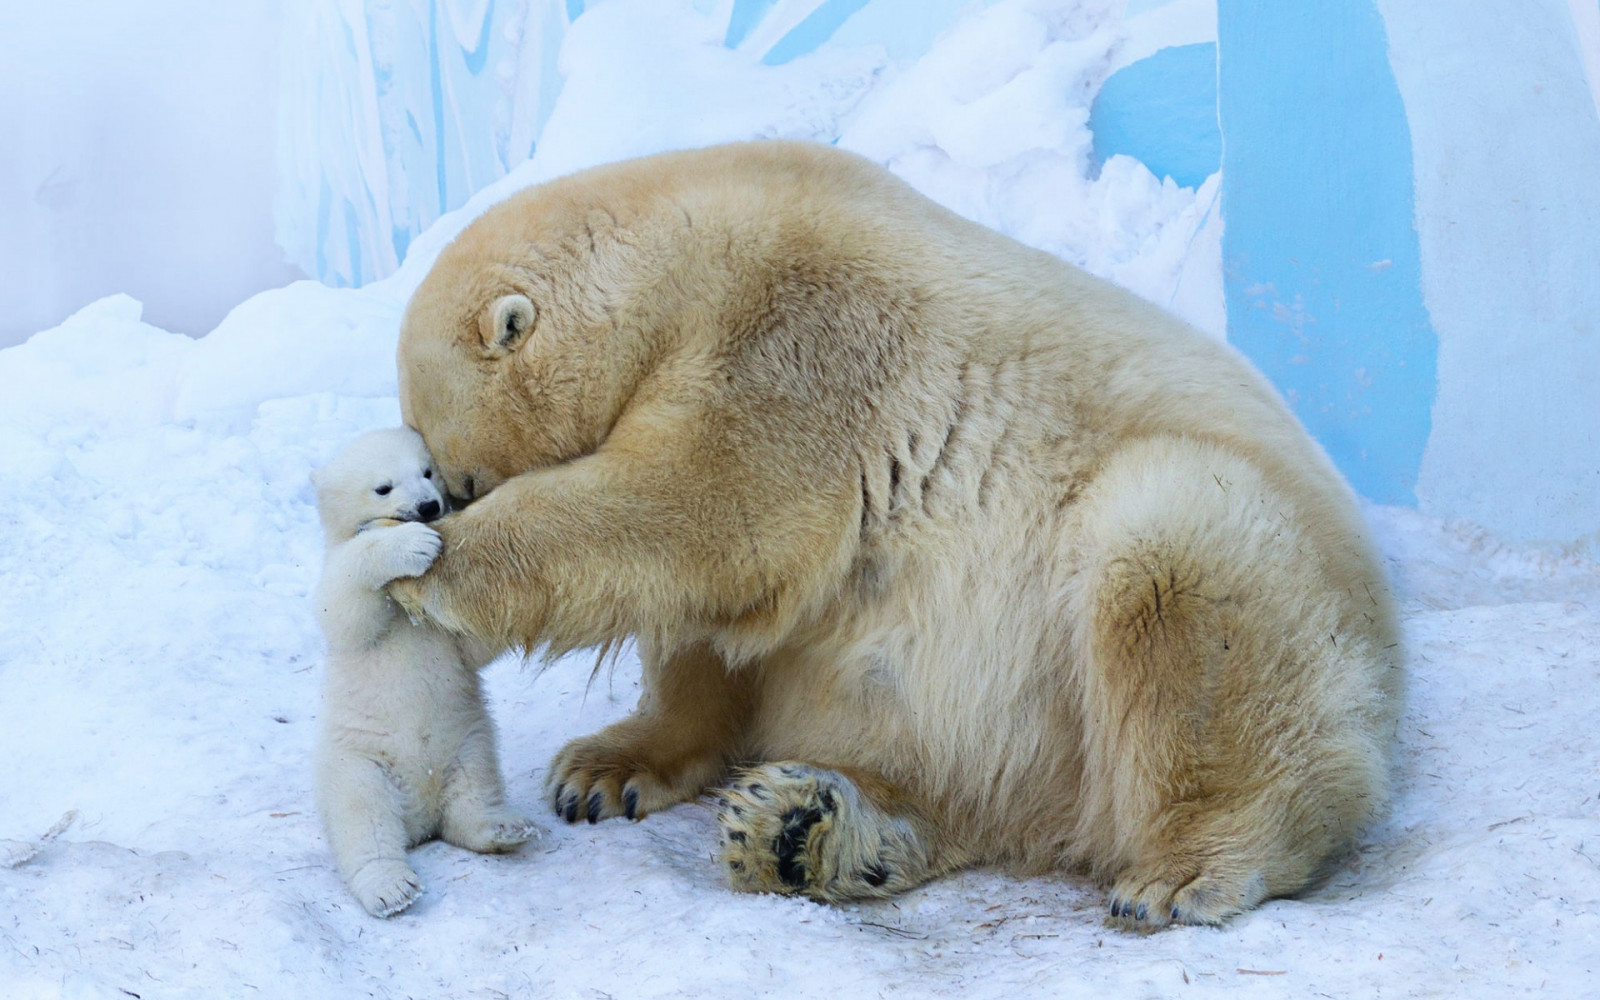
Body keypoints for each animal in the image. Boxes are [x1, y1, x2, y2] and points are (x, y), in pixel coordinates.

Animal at [311, 427, 542, 918]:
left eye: (427, 471)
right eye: (383, 487)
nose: (429, 507)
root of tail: (420, 820)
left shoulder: (444, 634)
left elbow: (471, 648)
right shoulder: (341, 579)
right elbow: (344, 608)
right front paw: (414, 545)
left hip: (467, 741)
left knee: (473, 790)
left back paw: (503, 828)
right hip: (358, 762)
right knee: (364, 819)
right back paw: (390, 888)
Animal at [388, 140, 1403, 929]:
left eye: (455, 475)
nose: (438, 502)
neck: (685, 256)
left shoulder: (801, 341)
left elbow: (699, 511)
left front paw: (427, 572)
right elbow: (717, 620)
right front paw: (605, 770)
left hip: (1251, 576)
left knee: (1176, 566)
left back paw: (1187, 867)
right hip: (1010, 736)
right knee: (953, 782)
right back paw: (804, 831)